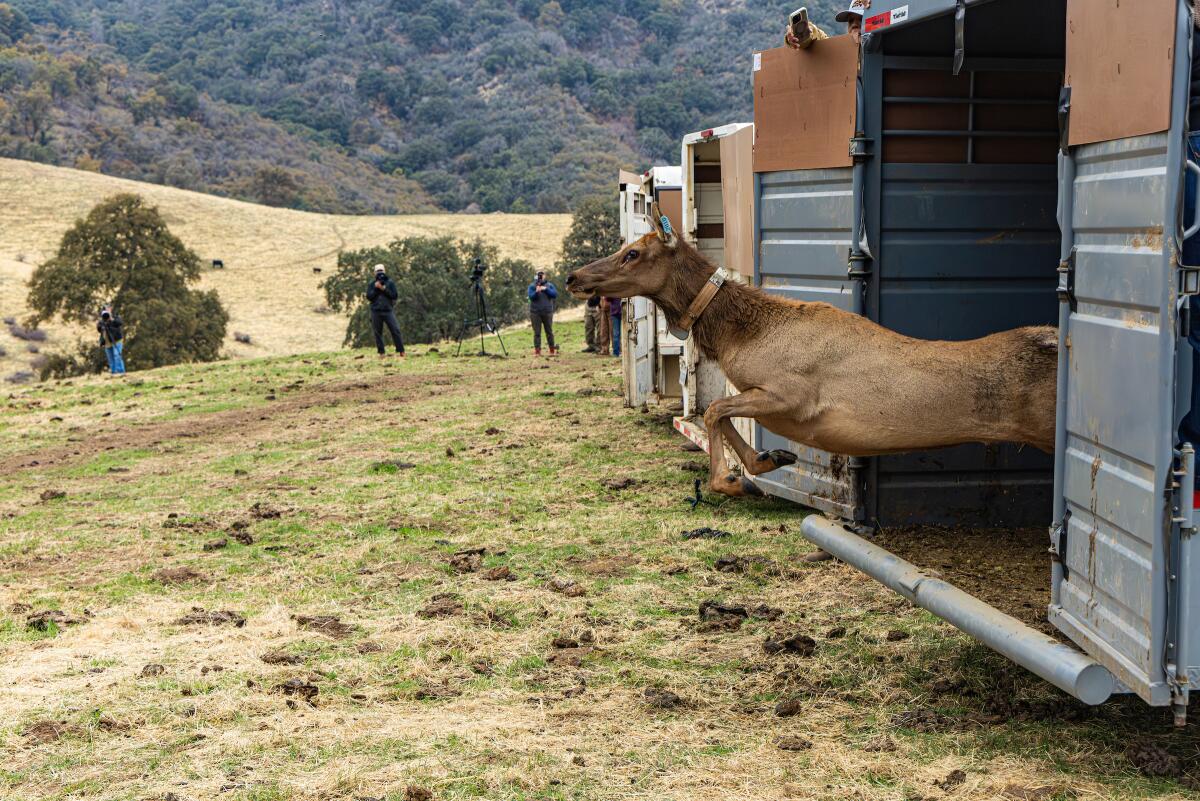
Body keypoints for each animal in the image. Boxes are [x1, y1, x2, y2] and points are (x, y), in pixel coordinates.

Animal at [566, 207, 1058, 501]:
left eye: (632, 253)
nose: (573, 277)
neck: (737, 336)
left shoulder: (791, 395)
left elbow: (715, 410)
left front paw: (731, 479)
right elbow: (721, 414)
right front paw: (767, 461)